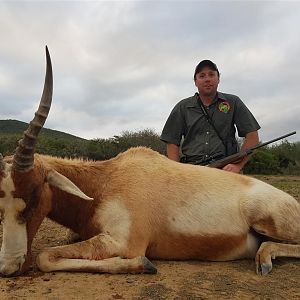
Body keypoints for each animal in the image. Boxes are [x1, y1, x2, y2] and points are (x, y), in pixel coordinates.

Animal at [0, 48, 300, 278]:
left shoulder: (123, 242)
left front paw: (143, 265)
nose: (9, 268)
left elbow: (45, 257)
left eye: (33, 199)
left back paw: (264, 259)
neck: (105, 182)